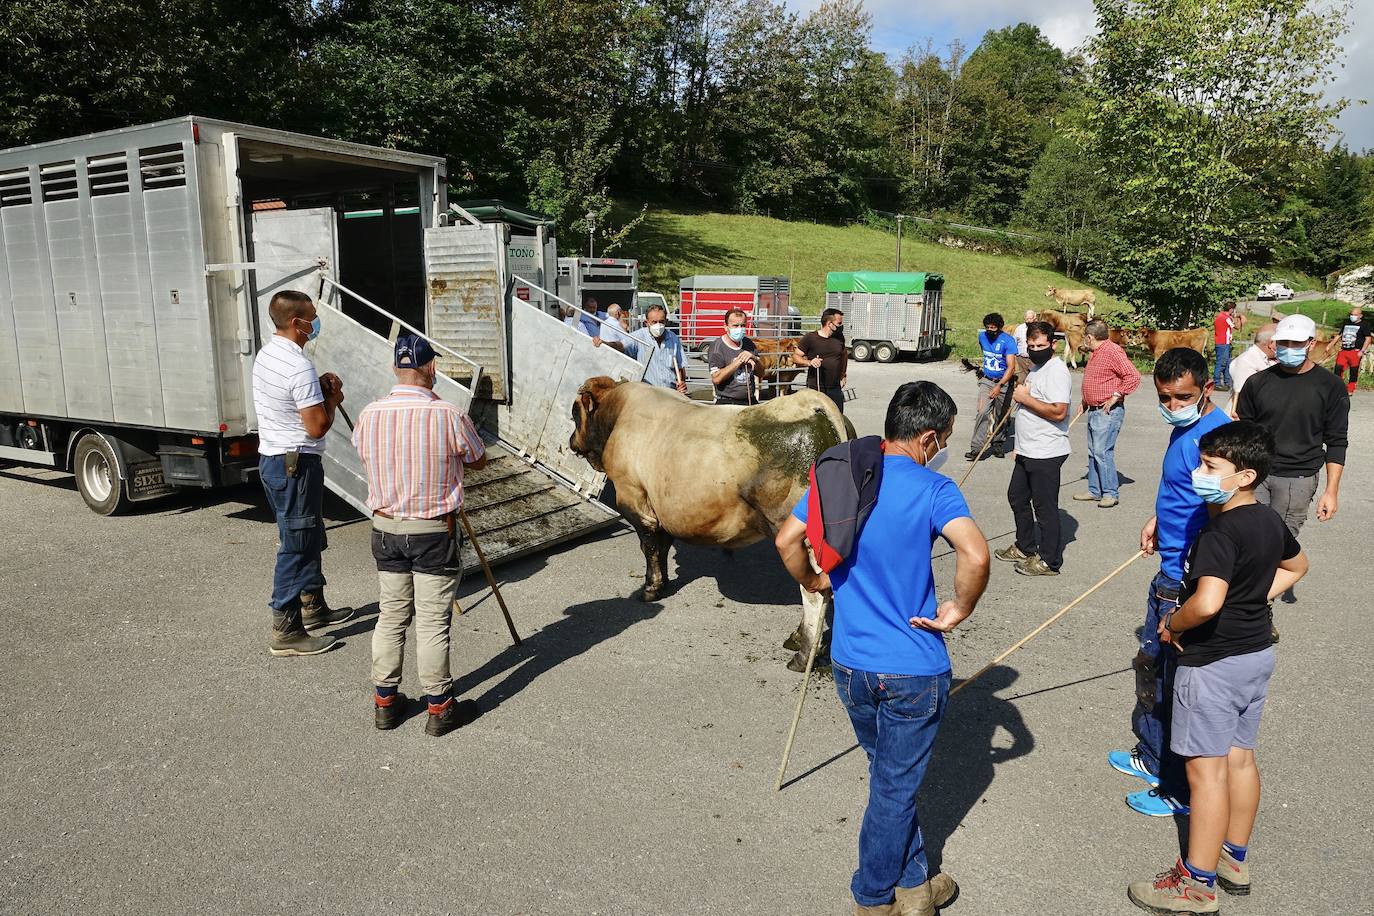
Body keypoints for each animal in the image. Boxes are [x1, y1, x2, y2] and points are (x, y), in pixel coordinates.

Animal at [568, 376, 846, 670]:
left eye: (575, 412)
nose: (571, 441)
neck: (618, 414)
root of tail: (808, 401)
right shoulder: (664, 510)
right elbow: (663, 546)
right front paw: (664, 583)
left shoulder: (634, 499)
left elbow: (650, 547)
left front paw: (650, 589)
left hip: (799, 534)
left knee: (815, 592)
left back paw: (803, 655)